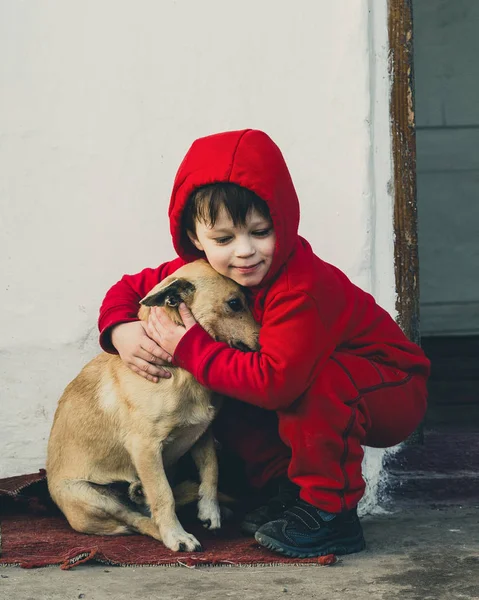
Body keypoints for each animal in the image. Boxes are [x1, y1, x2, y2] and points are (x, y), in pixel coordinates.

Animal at [47, 260, 260, 552]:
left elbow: (211, 470)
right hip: (91, 498)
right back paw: (166, 531)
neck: (181, 369)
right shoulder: (145, 447)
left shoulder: (202, 433)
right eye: (235, 303)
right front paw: (176, 534)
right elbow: (162, 495)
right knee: (136, 521)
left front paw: (210, 510)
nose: (264, 341)